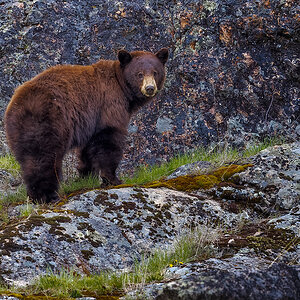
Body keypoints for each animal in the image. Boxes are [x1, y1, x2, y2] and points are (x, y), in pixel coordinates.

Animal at [5, 48, 169, 204]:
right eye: (139, 74)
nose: (149, 88)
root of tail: (17, 104)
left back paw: (35, 195)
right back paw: (48, 196)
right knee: (45, 157)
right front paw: (113, 179)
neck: (121, 86)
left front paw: (86, 176)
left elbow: (88, 149)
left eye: (155, 72)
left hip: (21, 131)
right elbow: (109, 140)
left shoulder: (91, 122)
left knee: (30, 159)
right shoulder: (108, 105)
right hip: (49, 121)